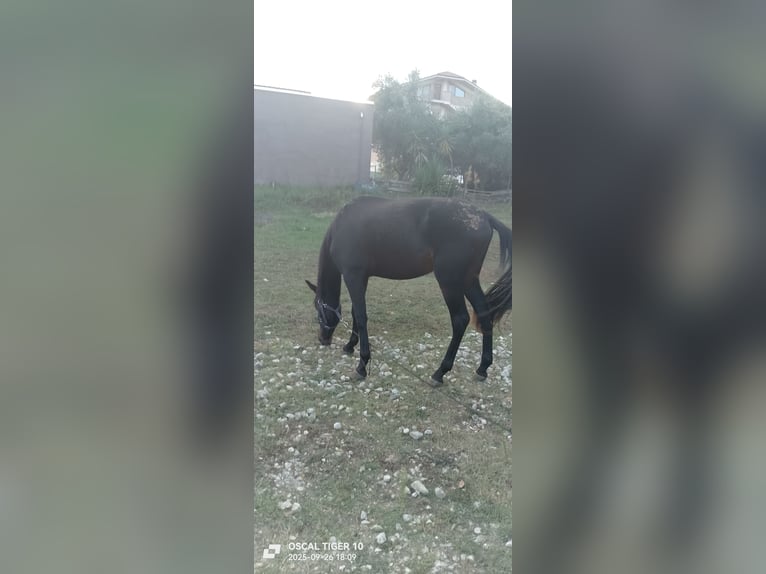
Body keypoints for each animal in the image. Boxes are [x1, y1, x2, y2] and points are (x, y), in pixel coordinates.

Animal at [305, 195, 512, 386]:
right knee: (484, 313)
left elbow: (361, 316)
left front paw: (362, 364)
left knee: (460, 320)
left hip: (450, 282)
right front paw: (349, 346)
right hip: (469, 281)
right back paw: (482, 368)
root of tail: (484, 216)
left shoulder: (352, 276)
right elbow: (356, 312)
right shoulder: (362, 278)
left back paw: (440, 373)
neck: (340, 228)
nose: (323, 339)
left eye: (318, 310)